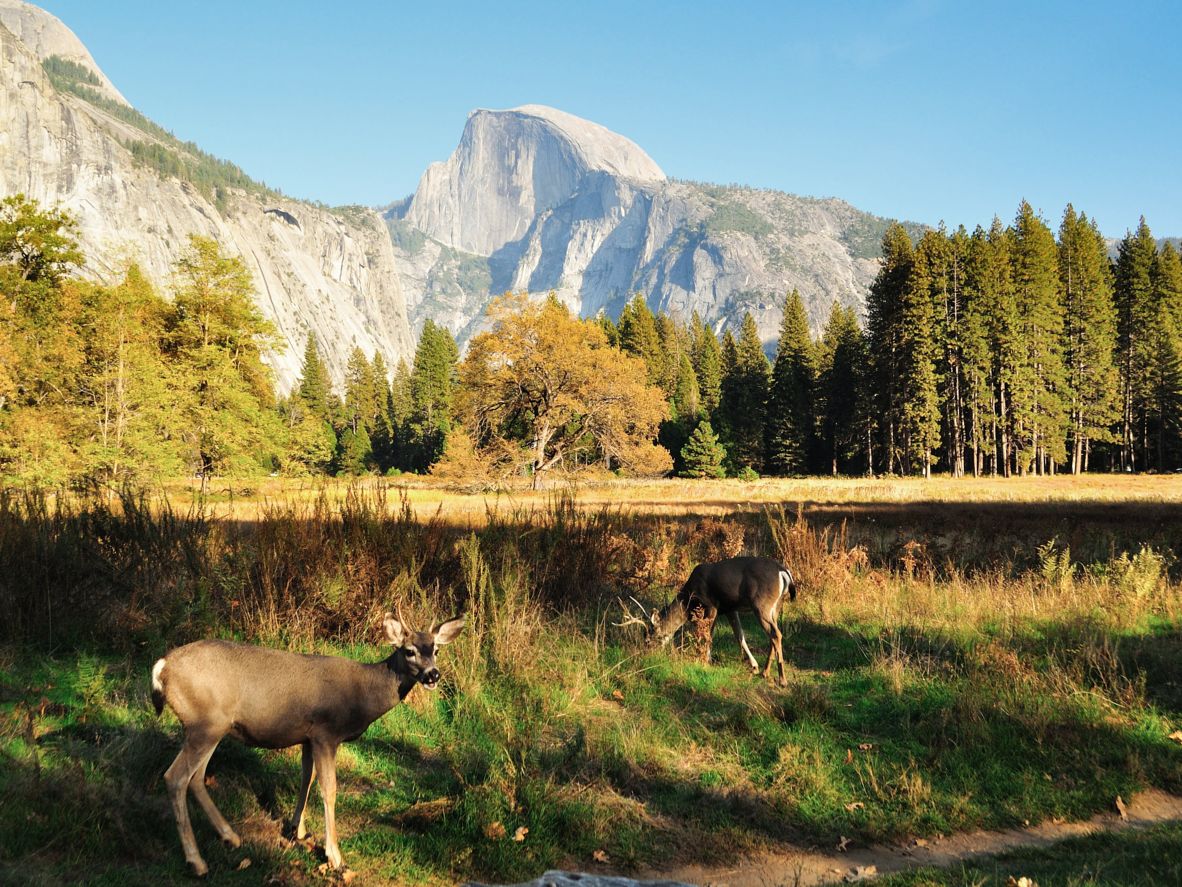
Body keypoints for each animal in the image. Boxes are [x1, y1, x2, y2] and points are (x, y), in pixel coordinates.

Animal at [147, 610, 460, 875]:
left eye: (436, 650)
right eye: (409, 651)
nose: (433, 674)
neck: (362, 697)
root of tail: (162, 667)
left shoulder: (308, 737)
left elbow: (306, 779)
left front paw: (297, 830)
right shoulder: (326, 733)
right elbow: (329, 789)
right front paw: (335, 856)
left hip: (212, 727)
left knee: (196, 778)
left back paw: (231, 837)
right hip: (205, 724)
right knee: (176, 777)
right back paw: (197, 861)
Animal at [619, 555, 794, 685]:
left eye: (648, 640)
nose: (646, 656)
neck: (688, 600)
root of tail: (783, 571)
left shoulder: (711, 605)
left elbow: (708, 635)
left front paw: (705, 660)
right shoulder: (729, 609)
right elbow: (740, 636)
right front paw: (754, 665)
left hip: (761, 604)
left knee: (776, 634)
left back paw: (782, 680)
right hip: (776, 606)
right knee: (773, 634)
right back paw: (765, 672)